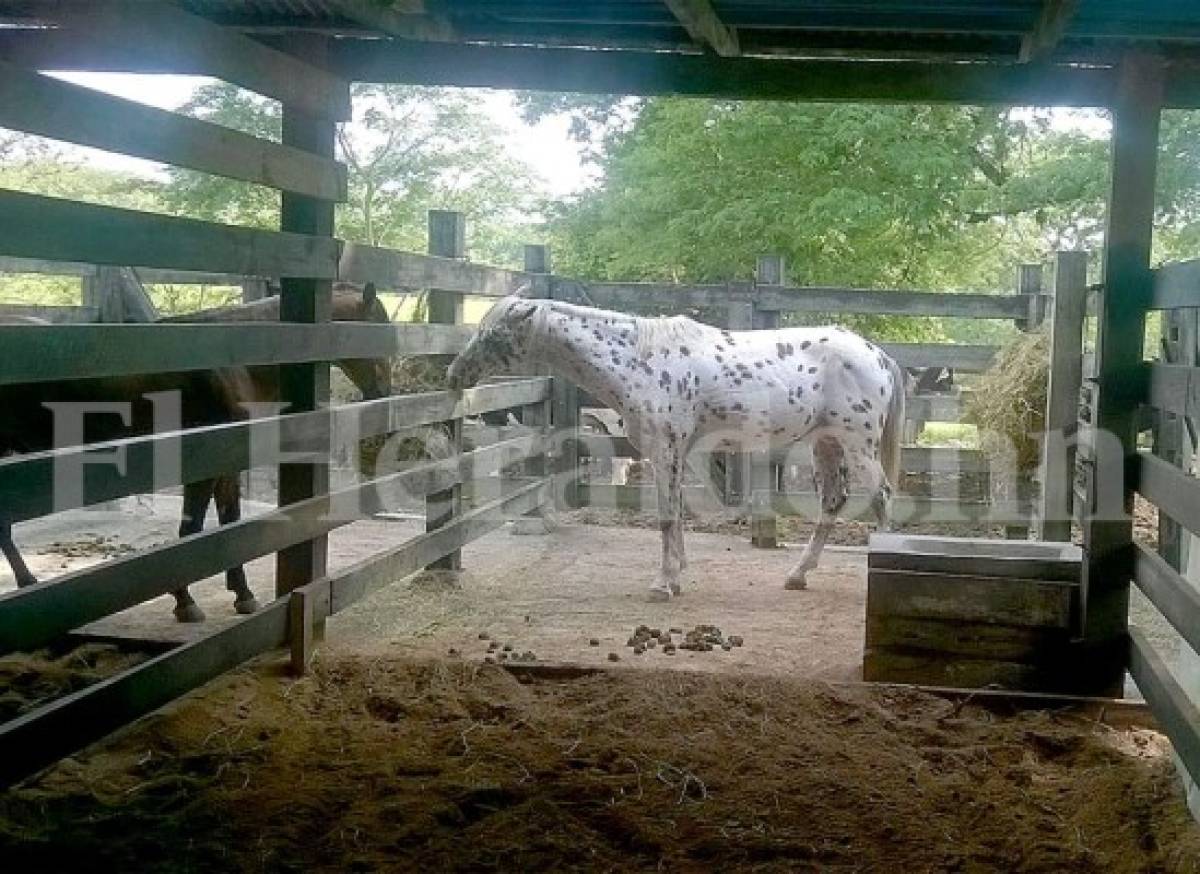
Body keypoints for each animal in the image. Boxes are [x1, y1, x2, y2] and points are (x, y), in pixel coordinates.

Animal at [0, 284, 391, 619]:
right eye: (380, 327)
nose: (384, 392)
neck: (234, 363)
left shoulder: (226, 464)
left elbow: (228, 522)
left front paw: (240, 594)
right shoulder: (203, 464)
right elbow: (192, 530)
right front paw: (185, 601)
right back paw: (28, 583)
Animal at [446, 291, 902, 600]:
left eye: (493, 336)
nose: (453, 375)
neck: (639, 360)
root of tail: (877, 355)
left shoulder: (663, 449)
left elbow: (666, 517)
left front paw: (663, 584)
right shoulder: (678, 452)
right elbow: (678, 513)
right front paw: (678, 575)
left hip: (857, 445)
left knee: (881, 496)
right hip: (827, 443)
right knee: (833, 502)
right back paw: (797, 575)